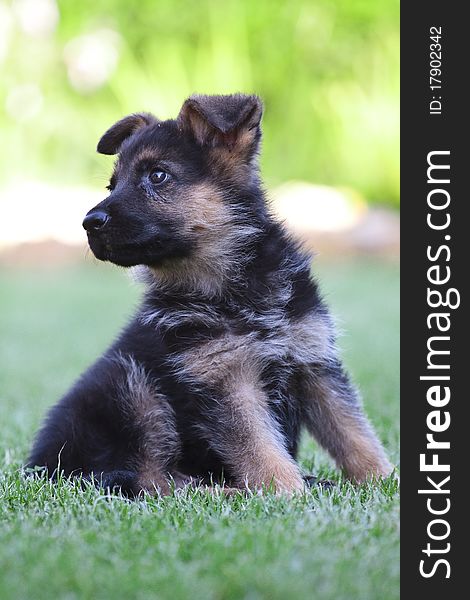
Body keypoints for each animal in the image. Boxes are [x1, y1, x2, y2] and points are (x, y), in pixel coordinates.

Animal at [26, 95, 392, 496]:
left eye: (157, 175)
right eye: (113, 185)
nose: (89, 223)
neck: (235, 286)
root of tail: (38, 469)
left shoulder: (314, 362)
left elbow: (353, 432)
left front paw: (383, 480)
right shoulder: (225, 379)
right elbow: (259, 446)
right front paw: (285, 492)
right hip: (130, 387)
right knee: (153, 480)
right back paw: (229, 490)